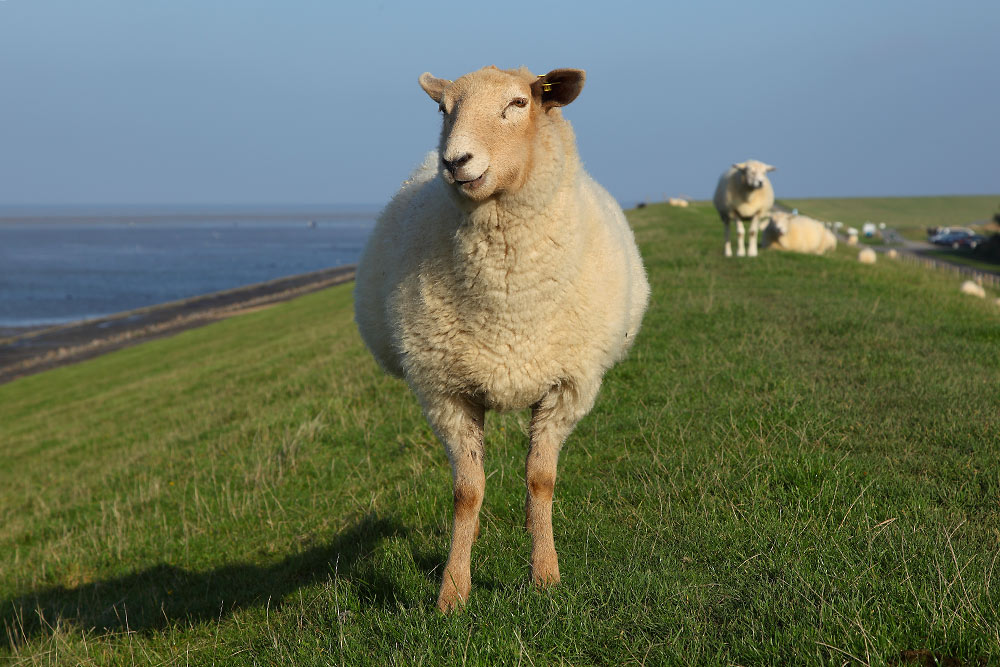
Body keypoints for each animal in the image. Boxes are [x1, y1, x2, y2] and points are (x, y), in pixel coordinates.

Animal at [352, 65, 648, 612]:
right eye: (442, 109)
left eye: (518, 103)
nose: (455, 161)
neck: (509, 304)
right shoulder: (447, 393)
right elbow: (467, 493)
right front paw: (453, 591)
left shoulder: (567, 387)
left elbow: (540, 480)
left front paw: (546, 575)